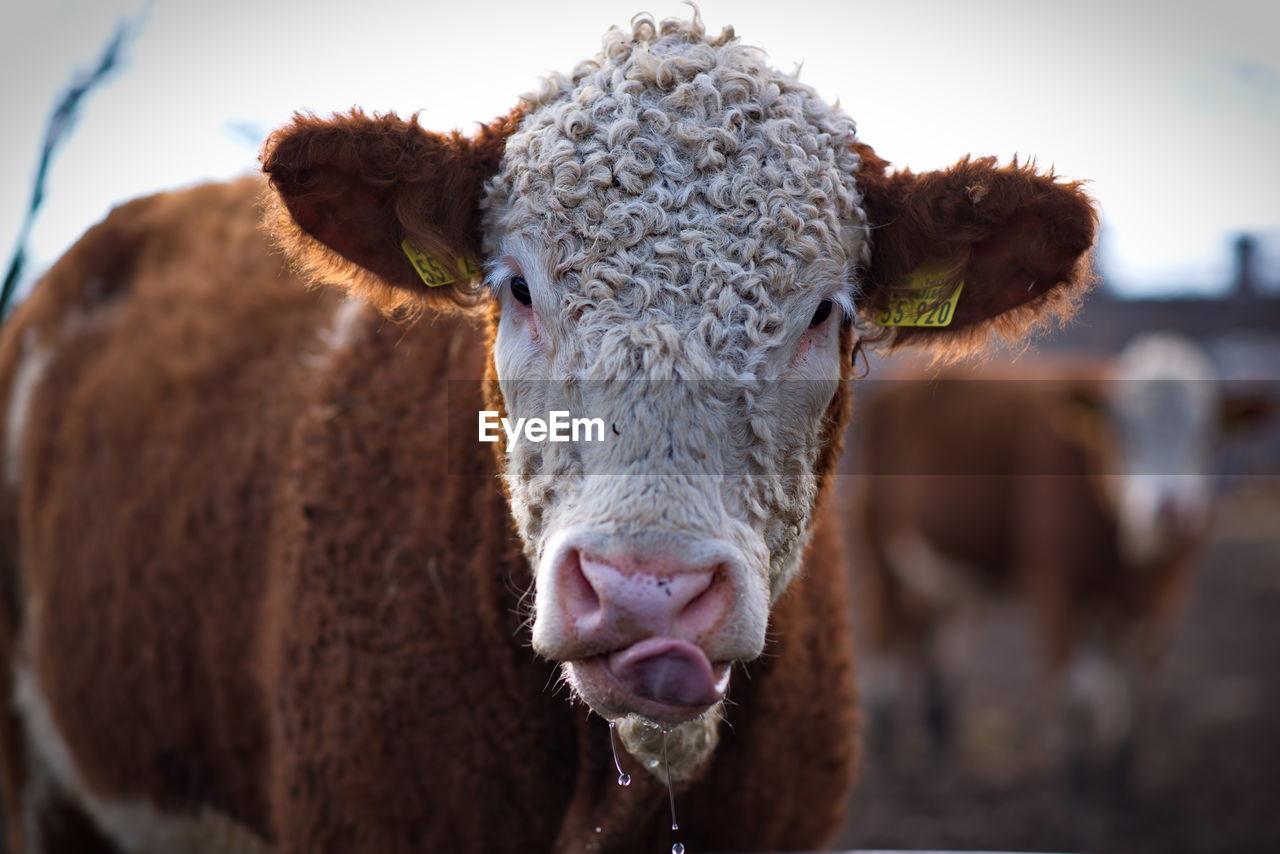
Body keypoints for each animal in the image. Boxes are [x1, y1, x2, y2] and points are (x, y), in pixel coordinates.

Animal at [849, 332, 1269, 793]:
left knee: (940, 649)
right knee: (883, 638)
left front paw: (1121, 779)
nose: (1171, 511)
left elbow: (1131, 694)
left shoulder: (1163, 598)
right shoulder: (1058, 587)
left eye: (1207, 439)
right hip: (875, 551)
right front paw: (1076, 779)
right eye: (1125, 436)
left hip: (949, 576)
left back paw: (941, 744)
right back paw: (886, 743)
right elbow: (1077, 691)